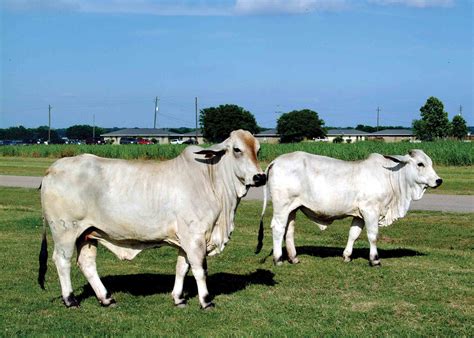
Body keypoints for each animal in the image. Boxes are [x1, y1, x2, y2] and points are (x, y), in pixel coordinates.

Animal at [38, 129, 264, 308]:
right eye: (237, 150)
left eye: (258, 150)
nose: (260, 177)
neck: (211, 181)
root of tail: (52, 169)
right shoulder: (195, 236)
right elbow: (200, 269)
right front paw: (206, 301)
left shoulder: (184, 239)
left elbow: (182, 267)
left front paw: (178, 298)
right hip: (65, 231)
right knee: (62, 260)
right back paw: (70, 299)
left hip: (87, 234)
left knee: (86, 263)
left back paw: (106, 298)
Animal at [258, 151, 442, 266]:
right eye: (420, 164)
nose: (439, 180)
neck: (389, 176)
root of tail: (276, 161)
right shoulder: (370, 210)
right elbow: (373, 235)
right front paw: (375, 259)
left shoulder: (359, 215)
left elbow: (353, 234)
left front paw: (347, 256)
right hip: (282, 206)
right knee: (278, 228)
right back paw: (278, 259)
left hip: (292, 208)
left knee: (289, 231)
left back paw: (293, 258)